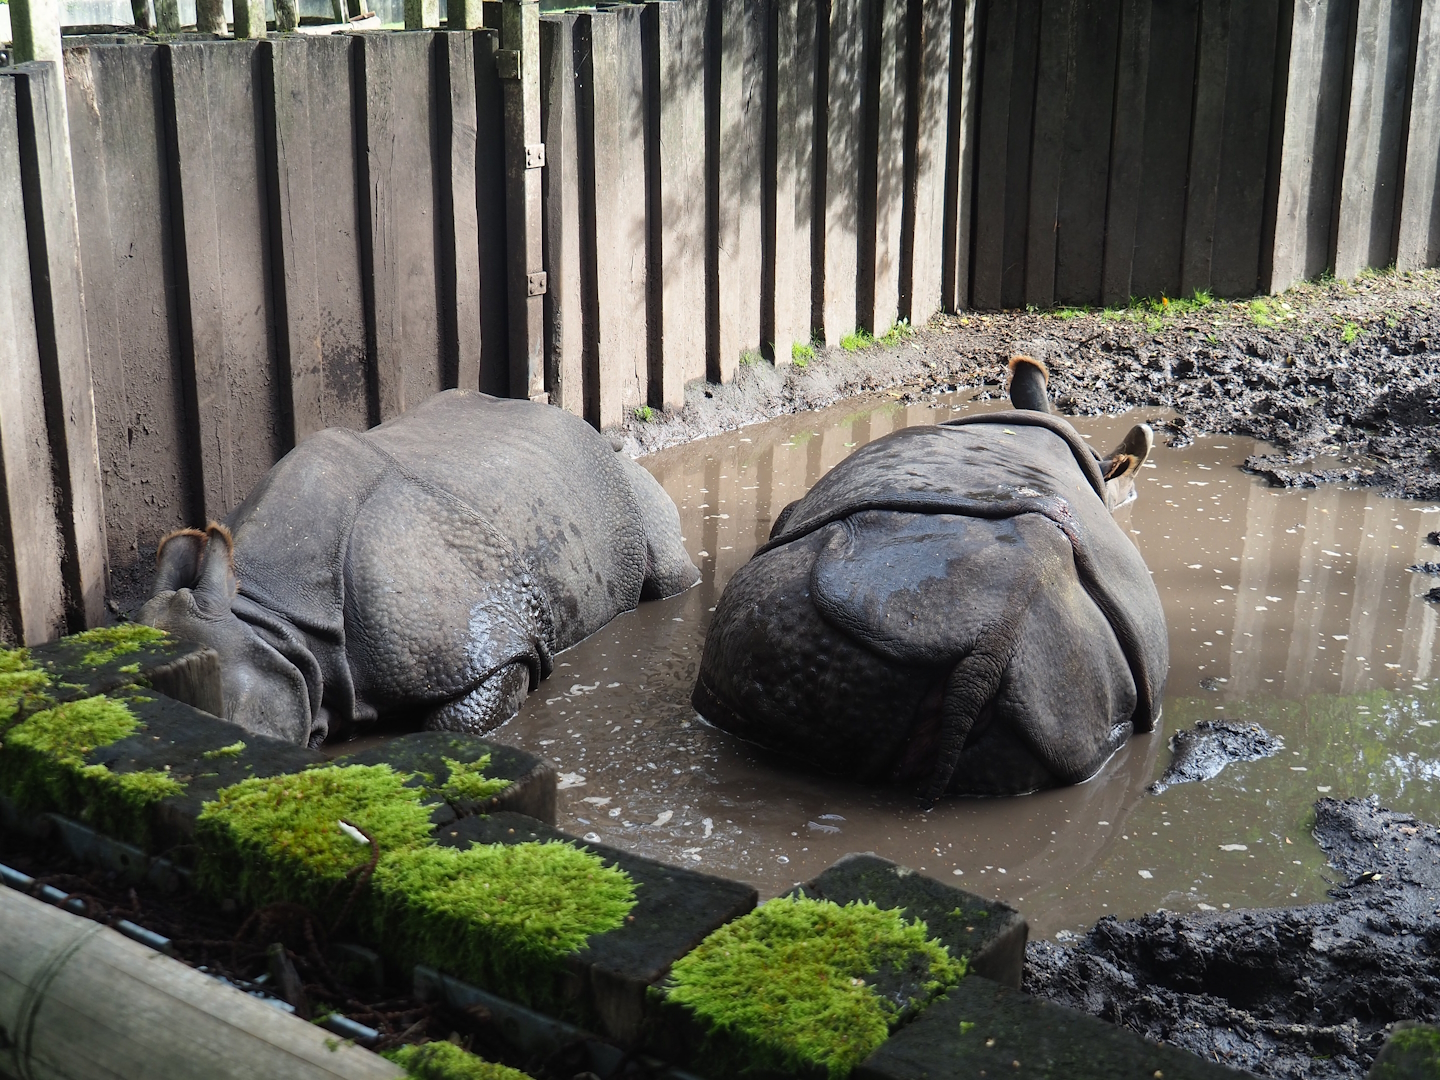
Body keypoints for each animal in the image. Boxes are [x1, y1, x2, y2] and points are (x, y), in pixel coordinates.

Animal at [140, 390, 698, 746]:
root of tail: (584, 424)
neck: (268, 618)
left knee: (667, 574)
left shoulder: (494, 643)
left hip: (615, 480)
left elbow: (457, 722)